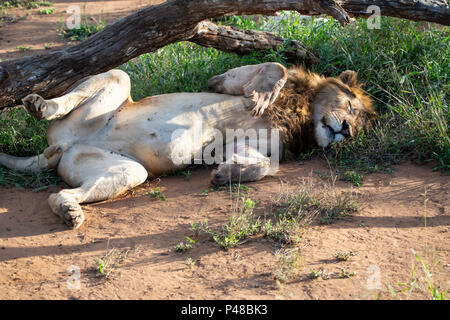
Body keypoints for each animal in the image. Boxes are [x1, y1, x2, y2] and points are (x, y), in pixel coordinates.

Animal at [0, 62, 372, 228]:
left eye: (360, 125)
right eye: (351, 108)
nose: (347, 132)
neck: (302, 116)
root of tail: (61, 147)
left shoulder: (248, 145)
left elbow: (263, 165)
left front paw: (226, 174)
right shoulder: (222, 82)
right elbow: (276, 67)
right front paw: (263, 95)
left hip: (126, 171)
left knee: (59, 194)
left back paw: (69, 210)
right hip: (114, 85)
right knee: (96, 86)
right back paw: (40, 105)